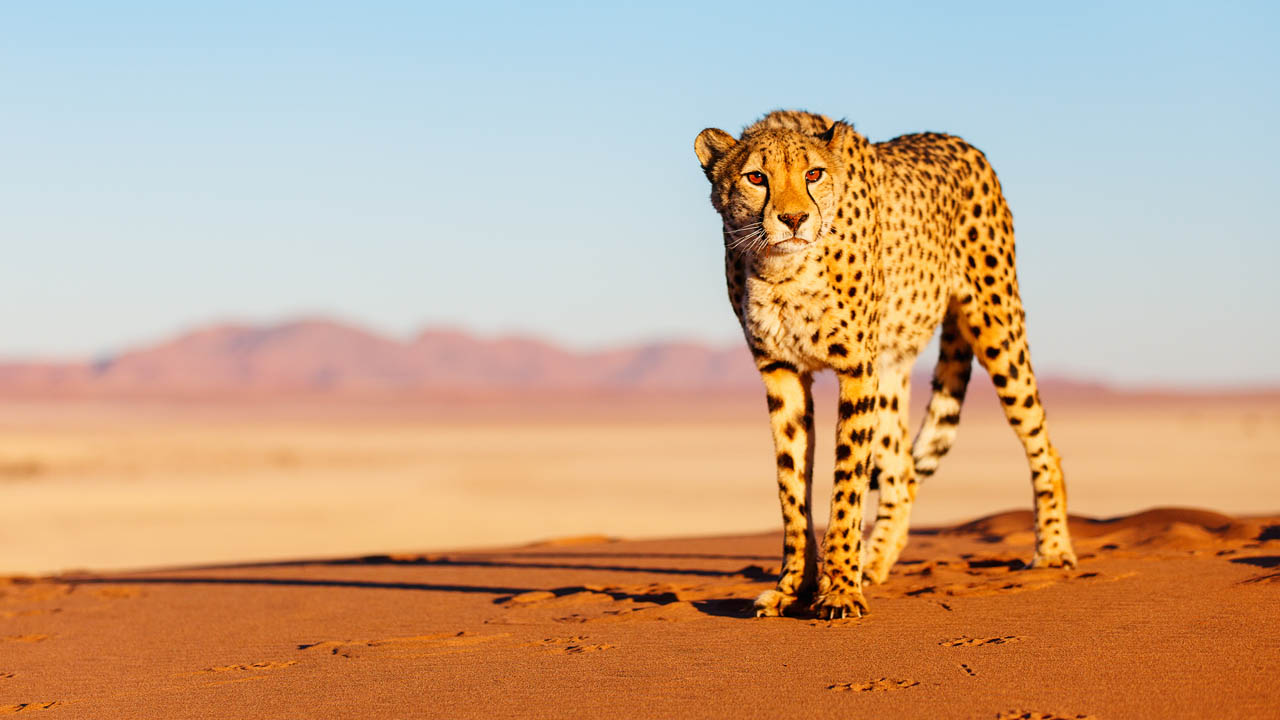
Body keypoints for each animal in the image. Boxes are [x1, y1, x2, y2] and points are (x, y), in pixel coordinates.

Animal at [693, 110, 1077, 619]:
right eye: (756, 177)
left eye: (813, 174)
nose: (793, 219)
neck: (782, 271)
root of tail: (958, 140)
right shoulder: (782, 373)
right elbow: (791, 488)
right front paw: (794, 587)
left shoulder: (857, 369)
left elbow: (847, 484)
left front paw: (839, 590)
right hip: (893, 368)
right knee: (902, 473)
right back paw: (874, 563)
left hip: (997, 328)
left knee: (1042, 443)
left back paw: (1052, 550)